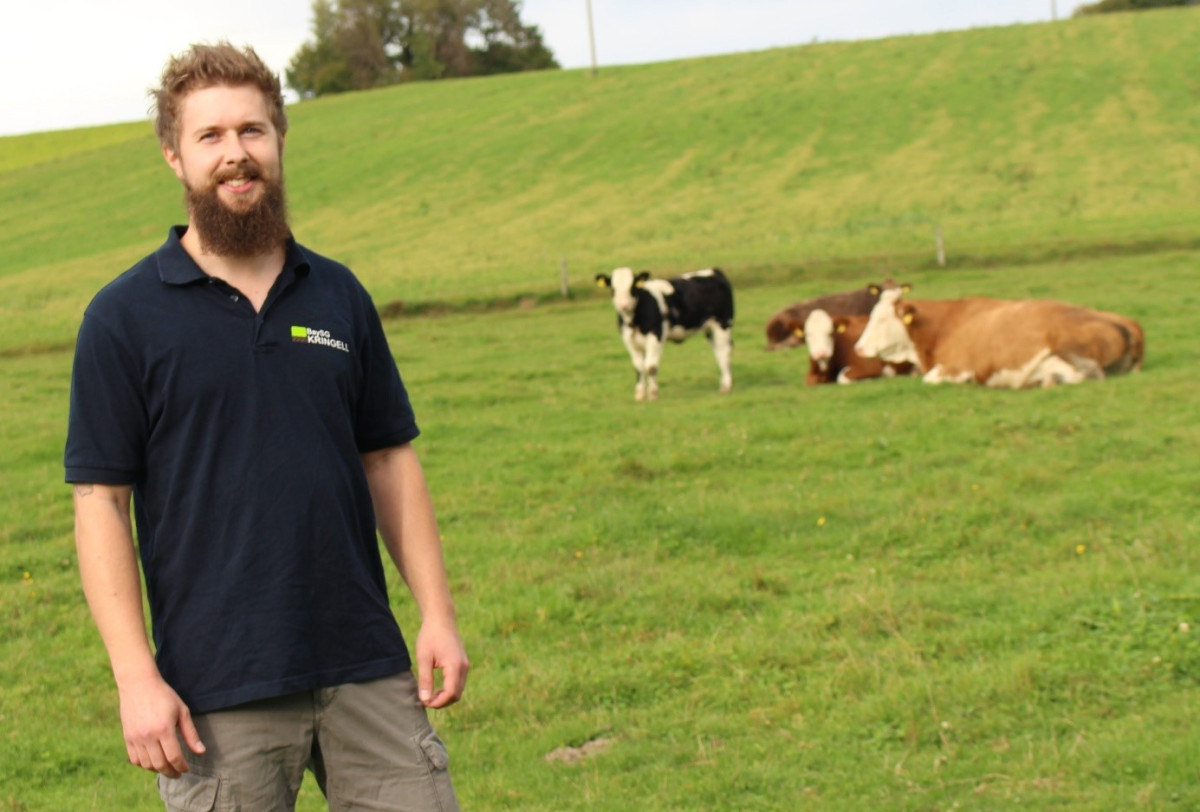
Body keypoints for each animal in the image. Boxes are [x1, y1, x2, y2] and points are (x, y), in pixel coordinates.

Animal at [597, 266, 734, 398]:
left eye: (633, 287)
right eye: (613, 288)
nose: (623, 305)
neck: (632, 321)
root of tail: (714, 270)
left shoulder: (655, 336)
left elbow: (650, 367)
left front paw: (653, 394)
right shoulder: (628, 340)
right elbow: (639, 367)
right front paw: (640, 395)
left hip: (723, 324)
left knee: (724, 353)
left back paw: (726, 386)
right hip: (710, 330)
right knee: (718, 353)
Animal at [854, 286, 1142, 388]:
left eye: (881, 319)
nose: (857, 348)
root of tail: (1124, 321)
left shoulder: (958, 367)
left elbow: (931, 379)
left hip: (1069, 346)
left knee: (1090, 374)